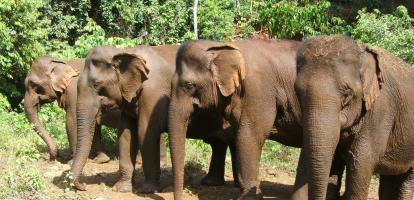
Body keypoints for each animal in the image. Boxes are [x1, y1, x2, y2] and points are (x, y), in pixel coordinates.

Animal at [168, 39, 346, 200]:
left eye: (189, 85)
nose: (181, 196)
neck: (223, 46)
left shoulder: (259, 89)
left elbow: (249, 136)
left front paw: (247, 197)